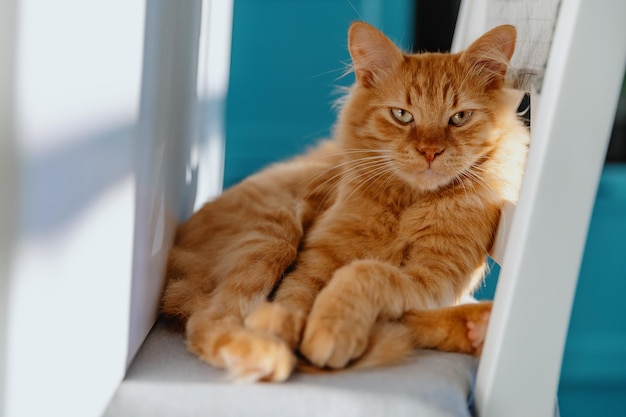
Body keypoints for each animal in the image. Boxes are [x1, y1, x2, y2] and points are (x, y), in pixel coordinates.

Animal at [162, 22, 528, 380]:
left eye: (459, 118)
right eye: (402, 115)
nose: (430, 151)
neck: (407, 203)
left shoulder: (434, 276)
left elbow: (365, 273)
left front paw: (329, 331)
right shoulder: (318, 257)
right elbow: (295, 295)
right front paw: (289, 326)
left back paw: (476, 327)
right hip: (273, 235)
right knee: (207, 320)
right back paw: (269, 353)